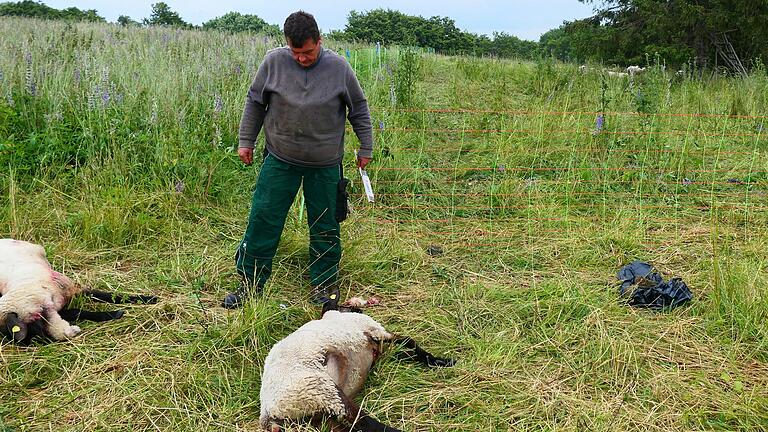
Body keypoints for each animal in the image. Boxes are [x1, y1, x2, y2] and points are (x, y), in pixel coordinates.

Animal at [0, 238, 158, 342]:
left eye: (32, 321)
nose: (42, 340)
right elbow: (76, 312)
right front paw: (112, 314)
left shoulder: (71, 289)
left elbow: (104, 295)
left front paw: (147, 299)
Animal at [262, 308, 456, 430]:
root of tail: (268, 413)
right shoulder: (376, 331)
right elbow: (409, 341)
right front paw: (443, 361)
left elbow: (406, 344)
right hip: (320, 391)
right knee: (363, 421)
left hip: (319, 414)